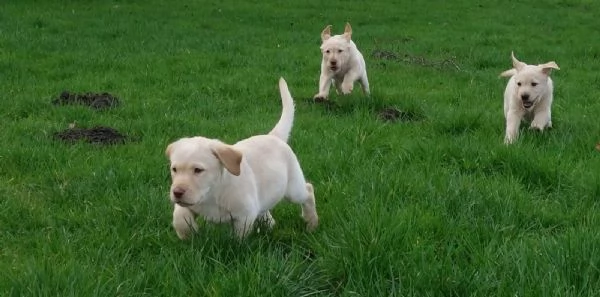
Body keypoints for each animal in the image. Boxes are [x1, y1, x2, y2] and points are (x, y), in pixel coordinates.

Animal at [164, 78, 318, 238]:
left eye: (198, 170)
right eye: (174, 169)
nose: (177, 192)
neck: (212, 193)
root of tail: (273, 136)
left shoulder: (245, 213)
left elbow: (239, 235)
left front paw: (233, 242)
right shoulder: (189, 204)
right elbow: (180, 217)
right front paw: (187, 235)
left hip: (292, 188)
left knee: (308, 190)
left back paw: (311, 222)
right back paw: (270, 224)